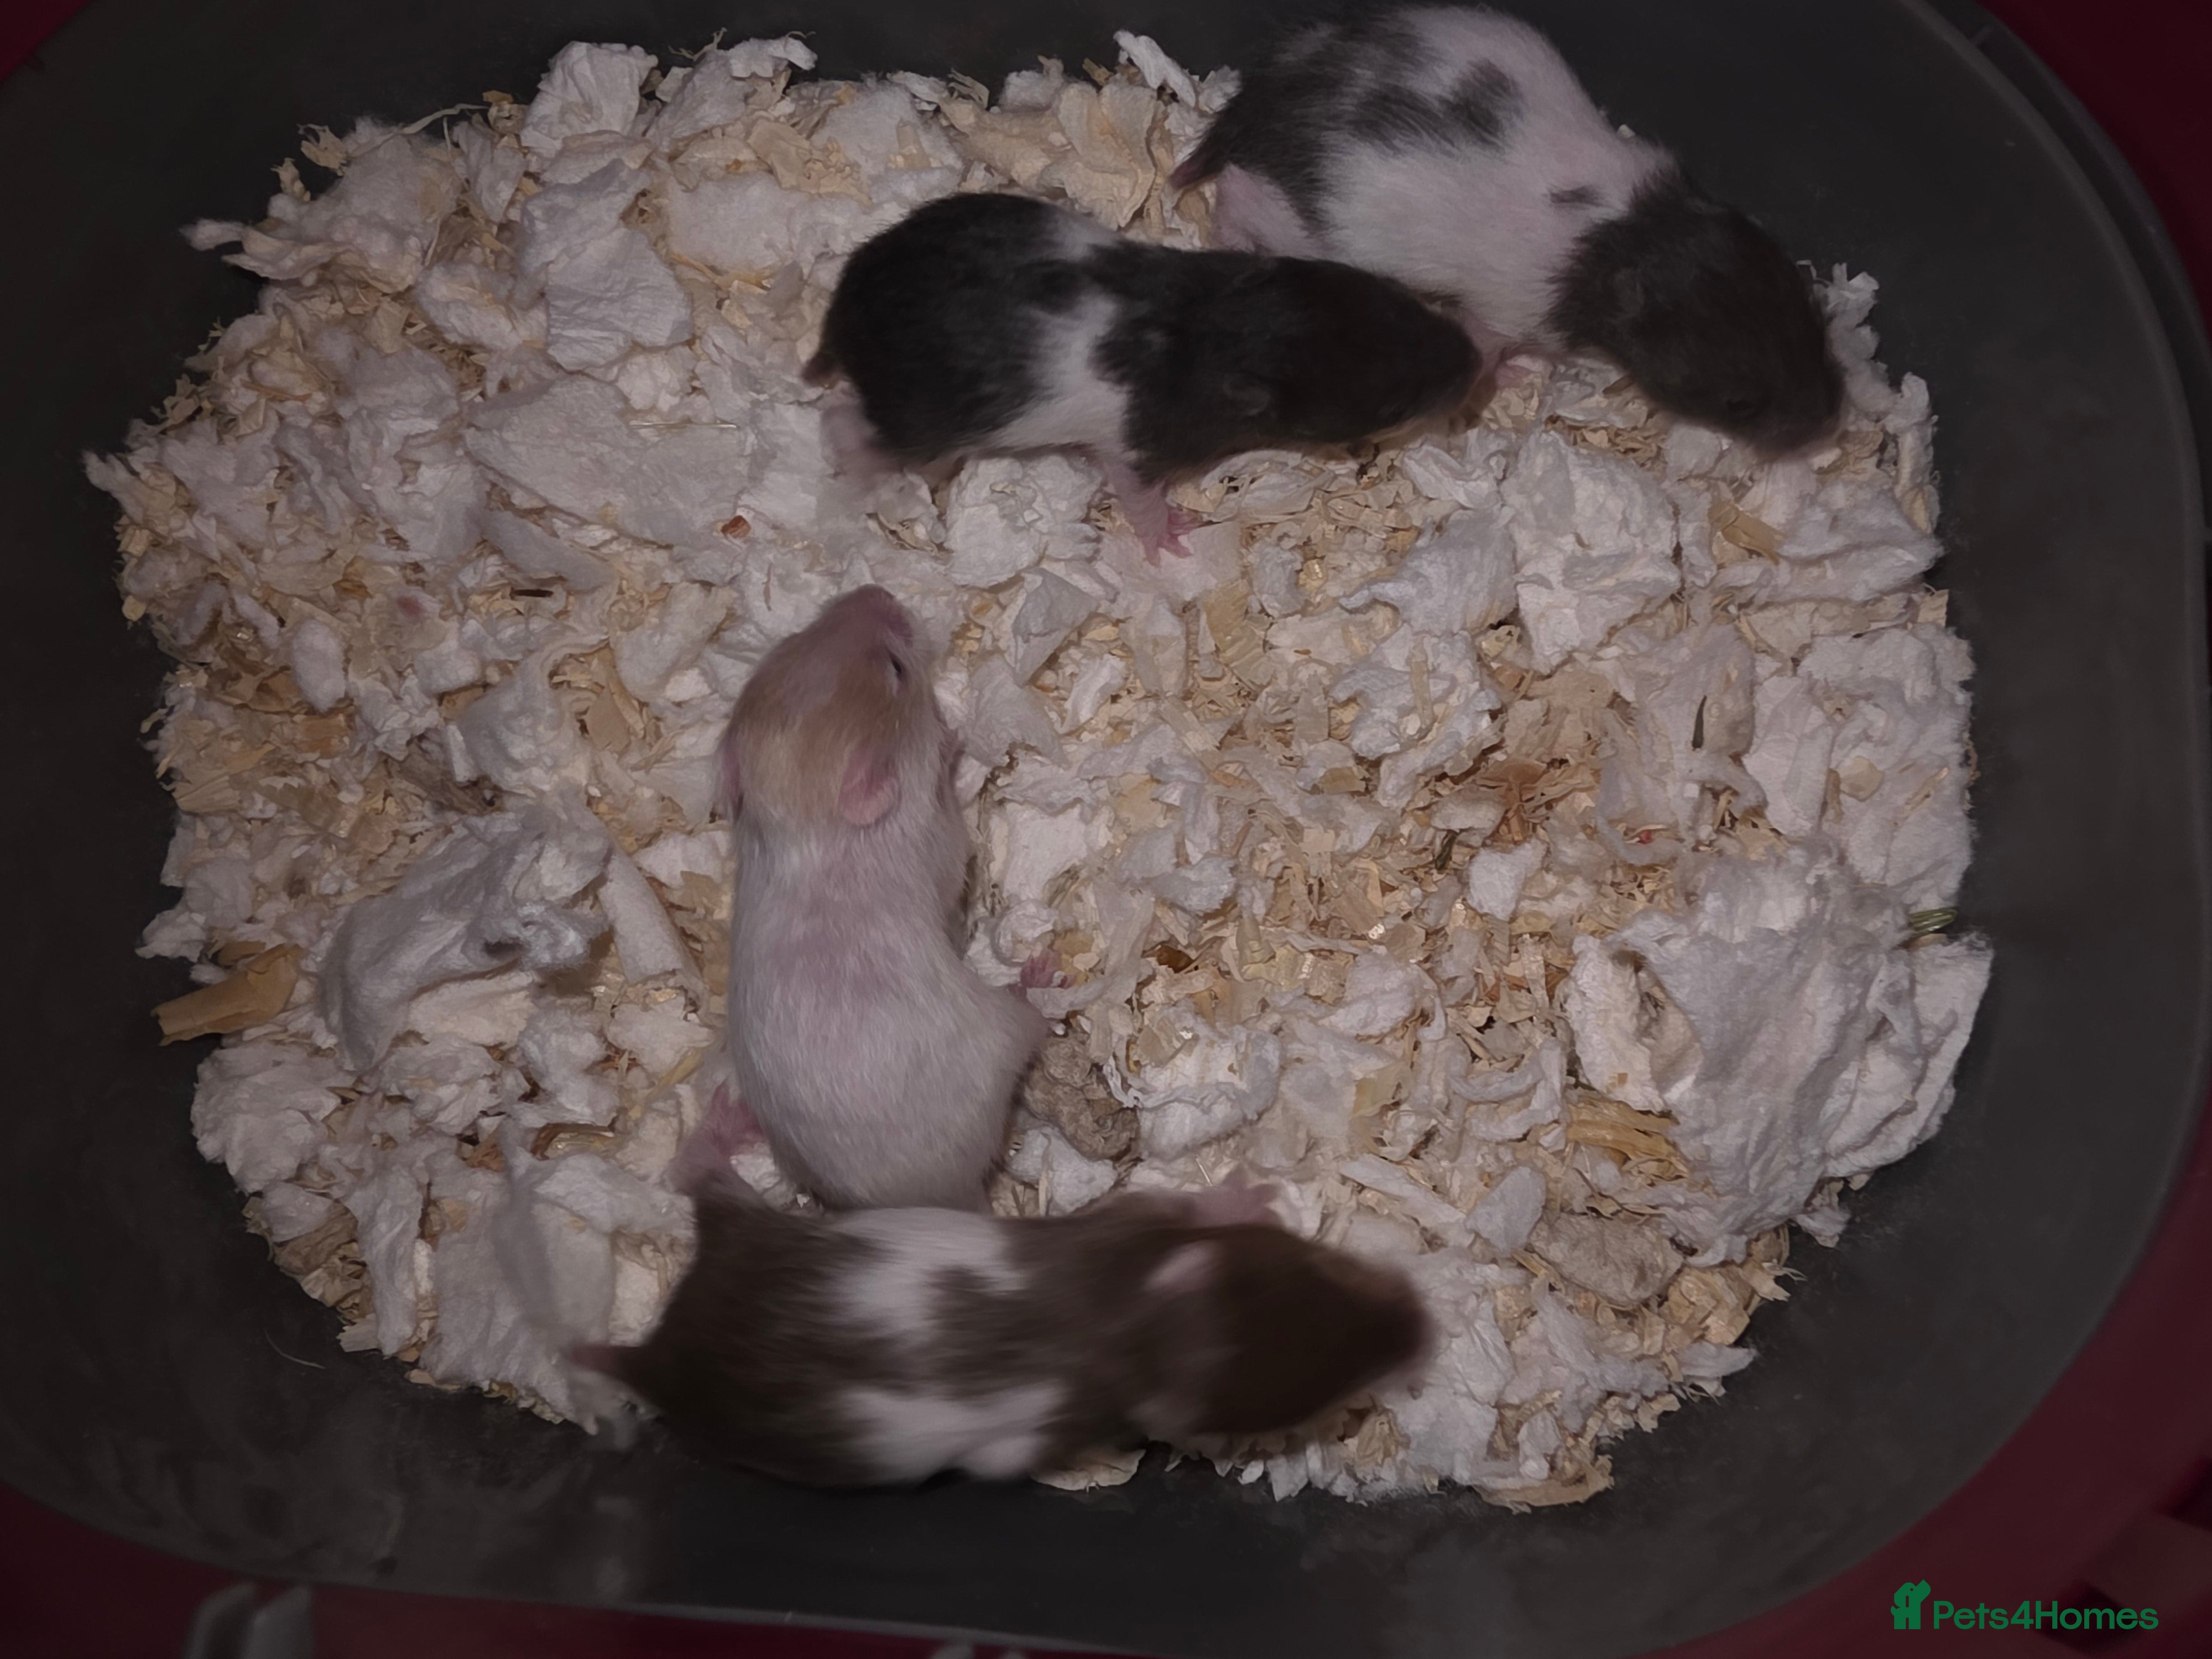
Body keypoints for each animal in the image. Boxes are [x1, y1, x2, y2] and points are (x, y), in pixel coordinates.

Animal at [579, 1137, 1430, 1488]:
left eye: (1326, 1267)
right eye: (1319, 1401)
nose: (1422, 1324)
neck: (1132, 1329)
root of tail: (659, 1352)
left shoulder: (1122, 1235)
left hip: (748, 1231)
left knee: (705, 1181)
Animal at [717, 585, 1045, 1210]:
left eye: (793, 639)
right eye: (896, 669)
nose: (877, 591)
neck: (803, 821)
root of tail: (943, 1198)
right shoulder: (941, 839)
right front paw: (953, 740)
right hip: (1003, 1030)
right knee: (1025, 1018)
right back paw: (1041, 976)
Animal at [805, 191, 1479, 558]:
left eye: (1395, 296)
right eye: (1393, 407)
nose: (1473, 361)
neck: (1217, 328)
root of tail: (845, 307)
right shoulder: (1140, 444)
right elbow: (1133, 489)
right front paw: (1170, 533)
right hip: (920, 425)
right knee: (843, 422)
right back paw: (858, 473)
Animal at [1173, 4, 1842, 454]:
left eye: (1816, 325)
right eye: (1739, 404)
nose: (1825, 426)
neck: (1629, 234)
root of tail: (1257, 99)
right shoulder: (1506, 313)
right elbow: (1487, 346)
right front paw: (1509, 376)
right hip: (1306, 230)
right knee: (1236, 188)